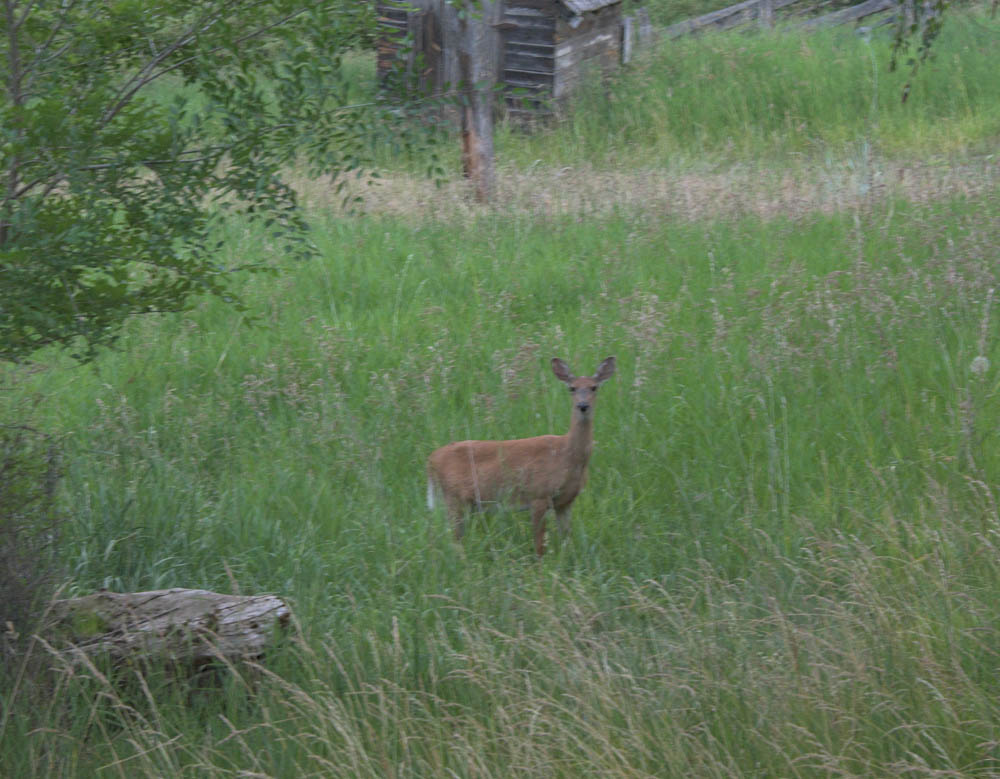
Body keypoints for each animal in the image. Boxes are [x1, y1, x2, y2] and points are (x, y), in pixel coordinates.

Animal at [426, 356, 616, 556]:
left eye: (594, 387)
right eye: (571, 388)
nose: (583, 406)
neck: (567, 456)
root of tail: (431, 460)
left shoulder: (565, 502)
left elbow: (566, 540)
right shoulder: (539, 494)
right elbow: (539, 544)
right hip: (453, 498)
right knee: (452, 540)